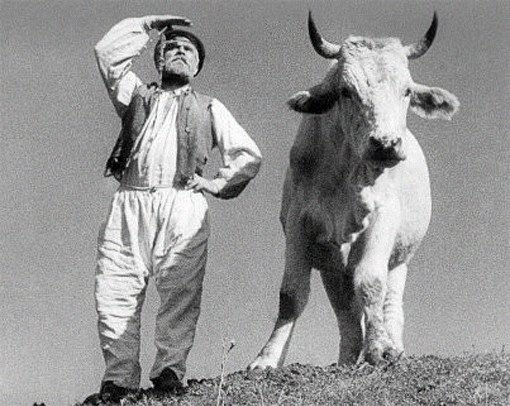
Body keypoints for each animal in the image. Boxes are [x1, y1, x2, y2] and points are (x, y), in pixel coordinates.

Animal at [249, 11, 459, 369]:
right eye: (346, 90)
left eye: (406, 90)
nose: (386, 144)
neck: (345, 172)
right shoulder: (300, 224)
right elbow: (291, 295)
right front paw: (267, 359)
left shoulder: (382, 217)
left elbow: (371, 282)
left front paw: (381, 349)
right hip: (332, 262)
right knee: (345, 308)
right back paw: (348, 357)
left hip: (399, 259)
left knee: (389, 300)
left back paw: (392, 345)